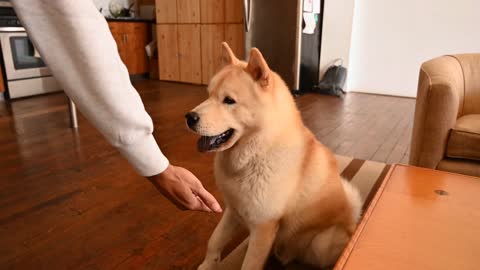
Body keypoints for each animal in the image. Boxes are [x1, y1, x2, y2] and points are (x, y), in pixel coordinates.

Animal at [187, 43, 360, 268]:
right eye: (208, 95)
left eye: (229, 101)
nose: (189, 117)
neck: (254, 156)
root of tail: (353, 224)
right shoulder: (233, 210)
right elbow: (215, 240)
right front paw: (208, 265)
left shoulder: (263, 225)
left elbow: (250, 263)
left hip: (320, 243)